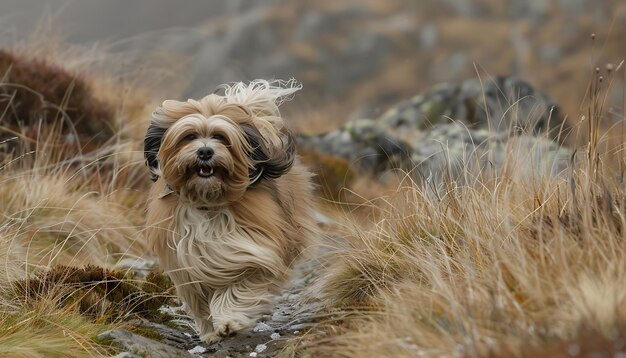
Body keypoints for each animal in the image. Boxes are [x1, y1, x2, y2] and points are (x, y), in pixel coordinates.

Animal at [143, 79, 314, 342]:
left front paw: (228, 321)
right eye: (189, 136)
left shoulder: (255, 254)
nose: (205, 152)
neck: (207, 204)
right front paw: (210, 332)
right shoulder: (187, 267)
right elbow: (200, 303)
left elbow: (238, 290)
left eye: (220, 137)